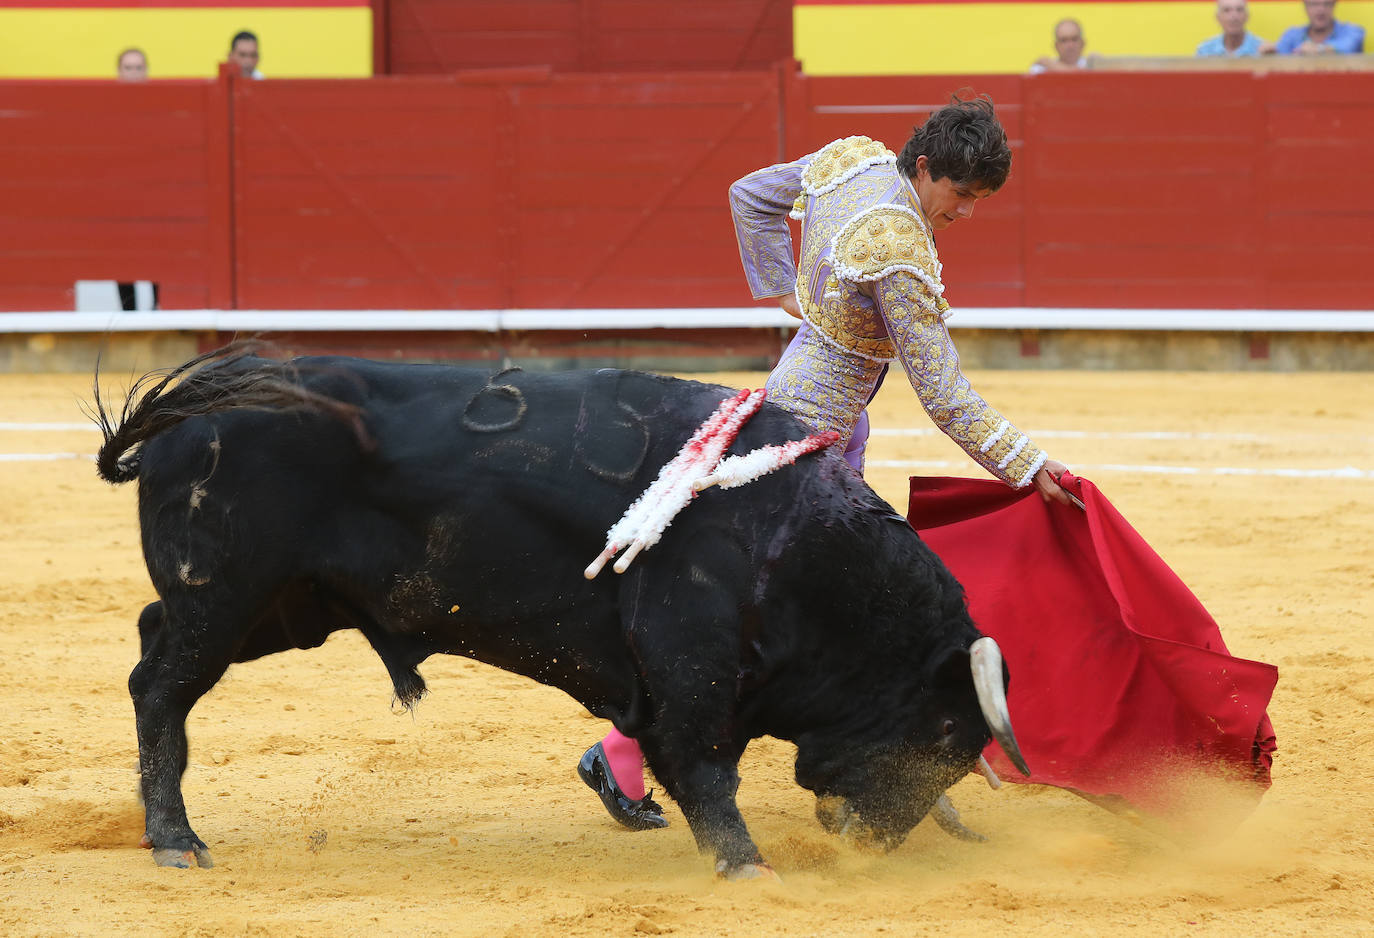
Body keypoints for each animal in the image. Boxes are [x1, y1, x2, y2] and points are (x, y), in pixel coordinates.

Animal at [94, 348, 1022, 878]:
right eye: (946, 731)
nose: (873, 843)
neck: (796, 542)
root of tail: (190, 417)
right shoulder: (691, 660)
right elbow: (706, 766)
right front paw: (747, 868)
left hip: (281, 609)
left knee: (148, 650)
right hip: (226, 597)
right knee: (161, 688)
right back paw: (176, 840)